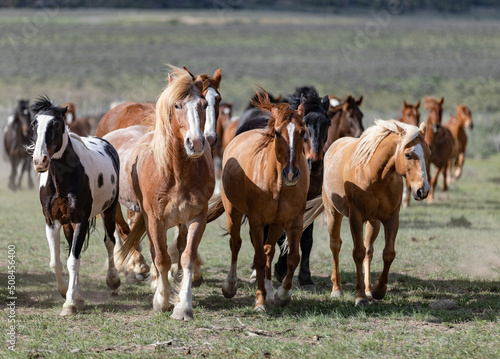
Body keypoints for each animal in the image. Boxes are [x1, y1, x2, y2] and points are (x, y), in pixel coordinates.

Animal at [30, 95, 122, 316]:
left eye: (56, 124)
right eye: (34, 124)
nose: (40, 160)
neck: (63, 178)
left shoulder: (81, 219)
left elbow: (73, 260)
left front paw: (70, 303)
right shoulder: (52, 221)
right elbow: (57, 262)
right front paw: (68, 292)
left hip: (109, 211)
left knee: (110, 242)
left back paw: (113, 280)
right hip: (67, 224)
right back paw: (78, 292)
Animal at [206, 90, 308, 312]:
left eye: (303, 132)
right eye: (277, 133)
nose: (291, 174)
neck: (277, 183)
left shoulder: (294, 221)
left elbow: (292, 258)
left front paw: (281, 295)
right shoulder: (256, 221)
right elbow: (258, 258)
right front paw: (260, 301)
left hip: (276, 224)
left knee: (269, 250)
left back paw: (270, 291)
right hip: (233, 213)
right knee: (236, 243)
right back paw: (230, 286)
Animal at [300, 120, 430, 306]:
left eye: (428, 153)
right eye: (408, 155)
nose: (423, 190)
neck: (375, 175)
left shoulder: (392, 218)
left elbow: (388, 253)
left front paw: (378, 290)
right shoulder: (356, 217)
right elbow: (358, 253)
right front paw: (360, 296)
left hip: (373, 223)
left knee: (369, 250)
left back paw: (369, 290)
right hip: (333, 214)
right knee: (335, 246)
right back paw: (337, 289)